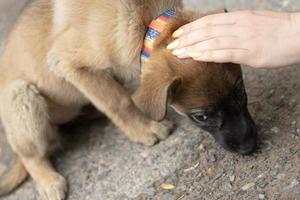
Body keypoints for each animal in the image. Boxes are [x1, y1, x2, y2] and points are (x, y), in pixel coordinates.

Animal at [0, 0, 256, 199]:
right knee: (31, 157)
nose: (249, 148)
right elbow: (118, 100)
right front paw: (145, 129)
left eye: (240, 91)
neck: (147, 23)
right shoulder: (71, 66)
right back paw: (48, 180)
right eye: (201, 116)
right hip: (21, 96)